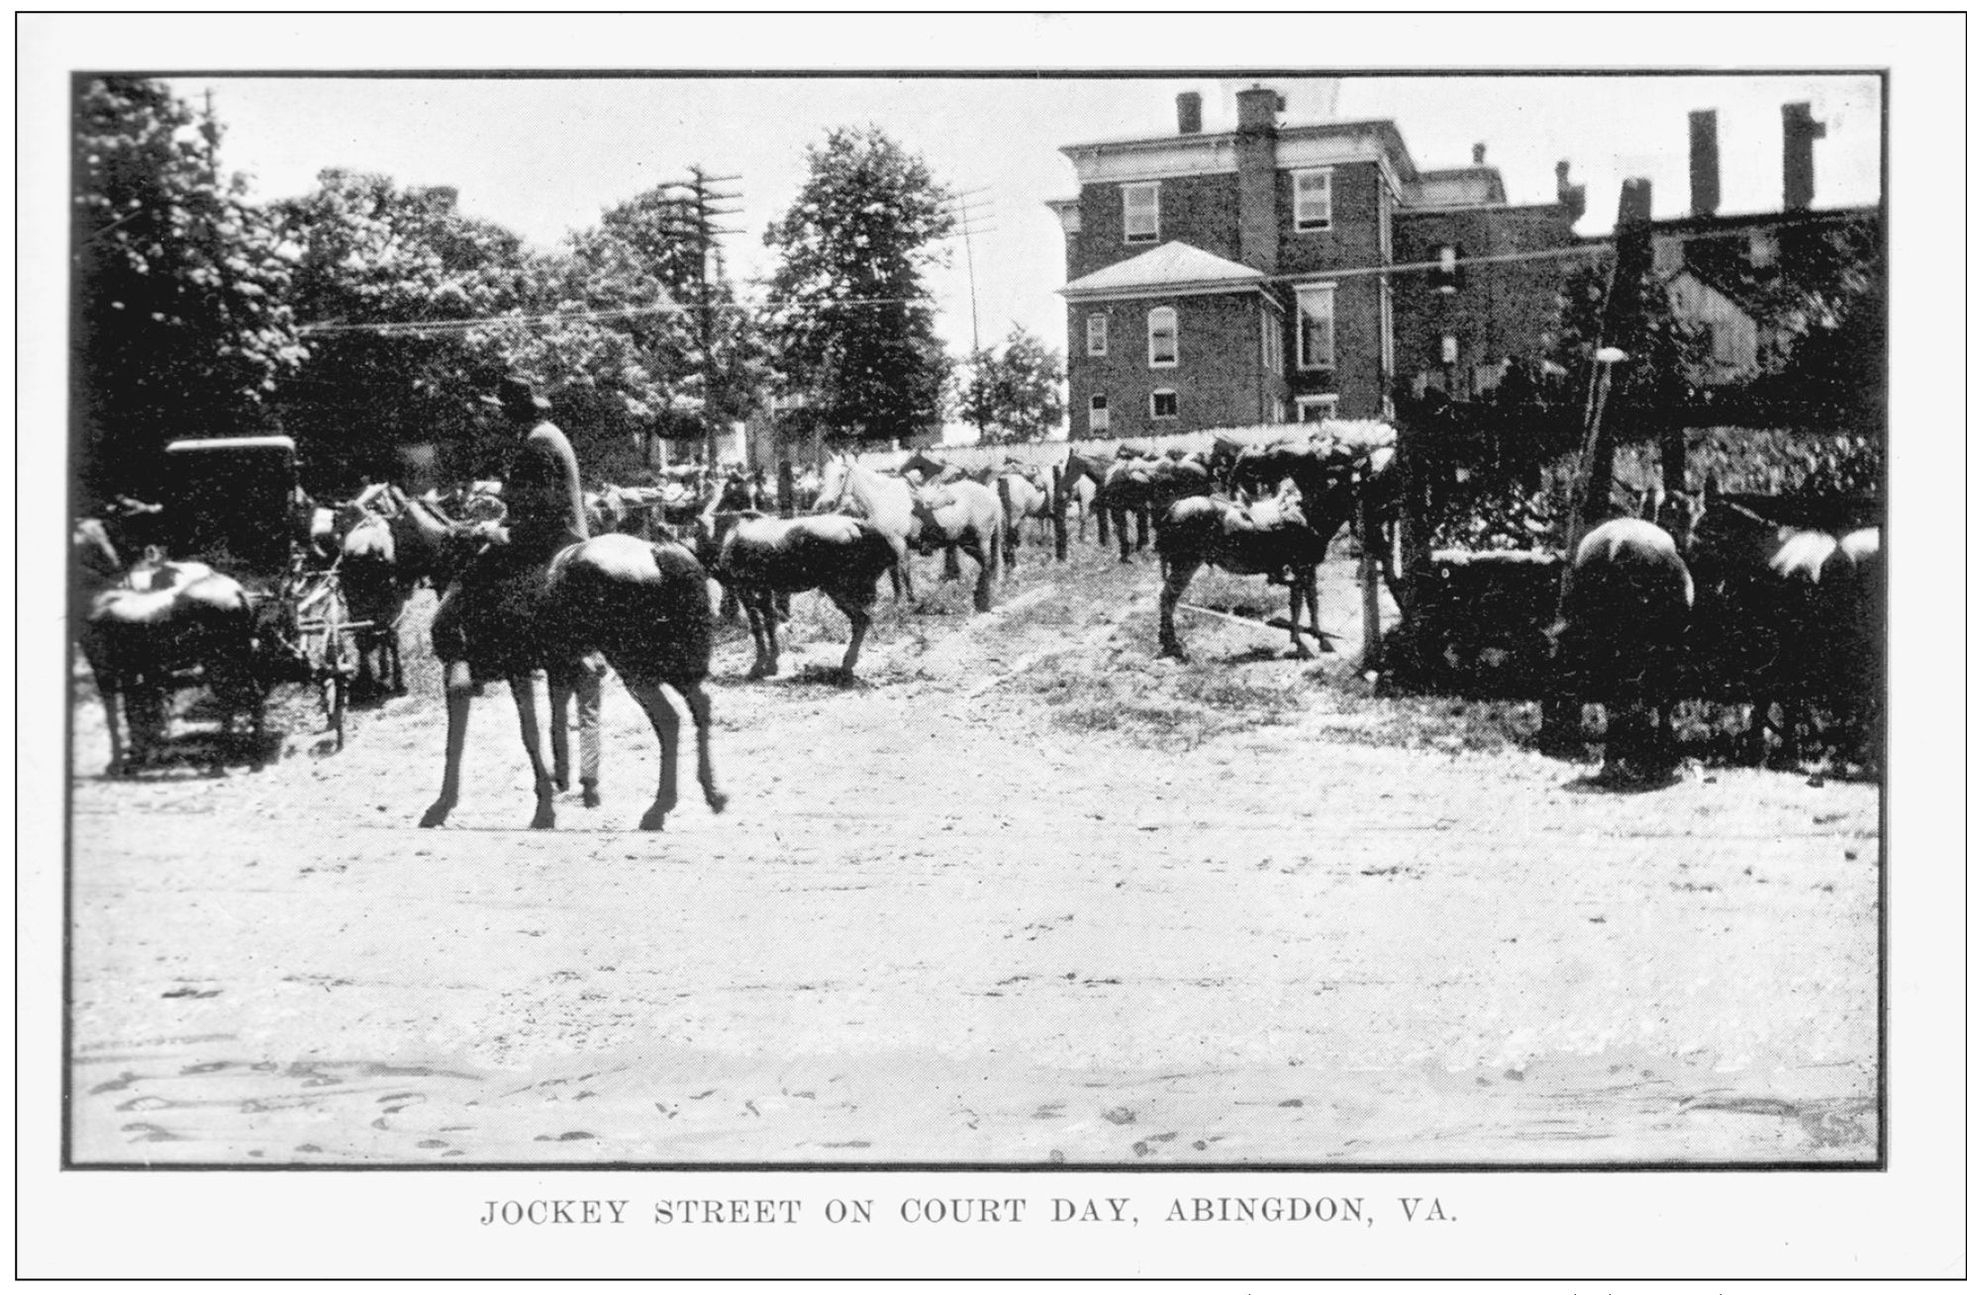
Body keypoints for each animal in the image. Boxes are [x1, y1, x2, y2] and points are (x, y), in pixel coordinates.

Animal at [1148, 478, 1321, 661]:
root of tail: (1172, 510)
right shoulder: (1305, 566)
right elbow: (1307, 602)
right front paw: (1308, 639)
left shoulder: (1302, 569)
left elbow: (1304, 601)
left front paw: (1304, 638)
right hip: (1187, 564)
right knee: (1168, 598)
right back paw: (1171, 644)